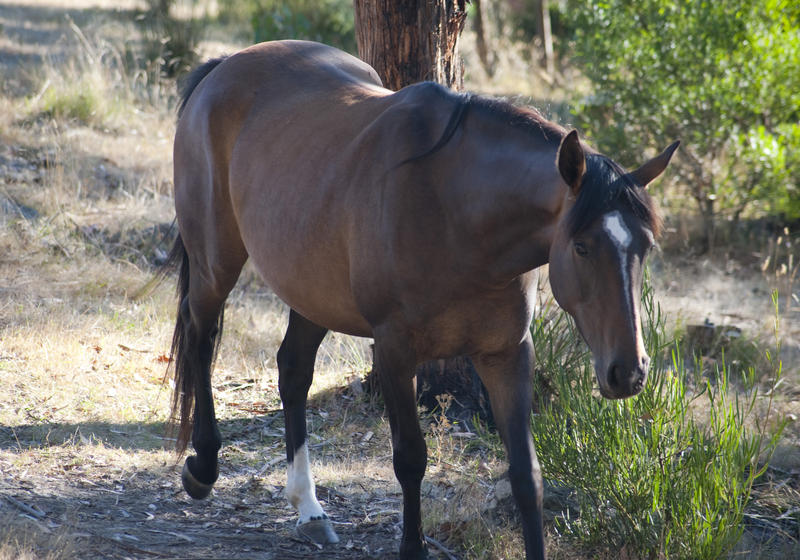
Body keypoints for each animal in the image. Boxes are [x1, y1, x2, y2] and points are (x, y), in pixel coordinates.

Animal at [166, 39, 680, 560]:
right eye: (581, 247)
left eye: (645, 246)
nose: (628, 372)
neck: (455, 214)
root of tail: (225, 65)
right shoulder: (395, 351)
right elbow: (411, 458)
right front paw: (412, 547)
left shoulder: (507, 353)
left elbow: (526, 475)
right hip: (215, 265)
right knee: (200, 339)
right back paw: (204, 466)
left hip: (311, 290)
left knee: (292, 371)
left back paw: (309, 509)